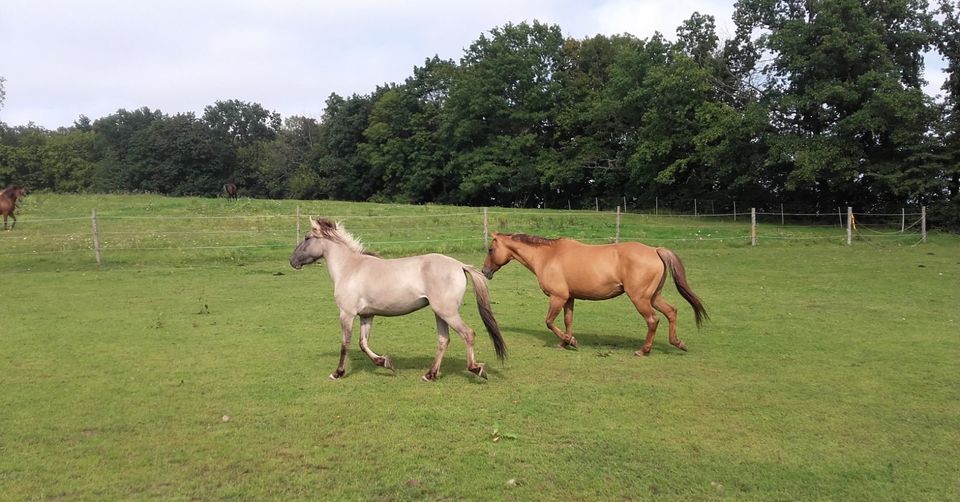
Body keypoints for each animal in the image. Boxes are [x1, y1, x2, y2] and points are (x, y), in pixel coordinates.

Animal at [288, 217, 506, 380]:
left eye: (307, 238)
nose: (292, 261)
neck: (350, 268)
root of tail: (460, 265)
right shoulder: (367, 315)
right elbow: (363, 343)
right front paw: (384, 362)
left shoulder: (347, 314)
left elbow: (345, 344)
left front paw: (338, 373)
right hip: (440, 313)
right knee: (444, 340)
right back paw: (430, 374)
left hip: (447, 312)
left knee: (468, 334)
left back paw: (476, 369)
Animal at [484, 232, 708, 356]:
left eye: (490, 249)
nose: (485, 272)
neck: (548, 256)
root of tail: (655, 250)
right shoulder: (569, 298)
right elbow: (567, 321)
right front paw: (566, 342)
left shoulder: (558, 297)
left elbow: (549, 322)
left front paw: (570, 341)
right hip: (653, 296)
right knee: (671, 312)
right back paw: (678, 343)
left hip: (640, 298)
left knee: (653, 320)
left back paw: (643, 350)